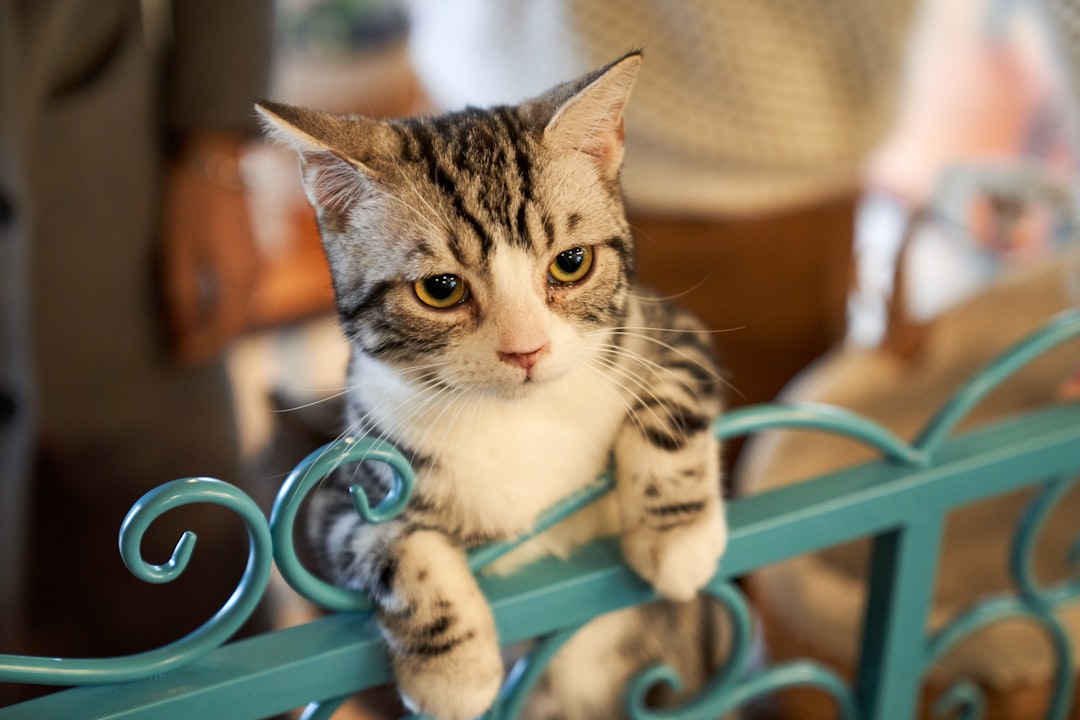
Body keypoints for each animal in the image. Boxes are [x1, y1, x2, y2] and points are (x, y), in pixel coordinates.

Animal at [254, 52, 725, 720]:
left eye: (571, 262)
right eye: (440, 289)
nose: (526, 349)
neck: (518, 418)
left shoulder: (669, 329)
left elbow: (673, 404)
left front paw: (677, 541)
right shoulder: (340, 493)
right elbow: (387, 543)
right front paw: (454, 675)